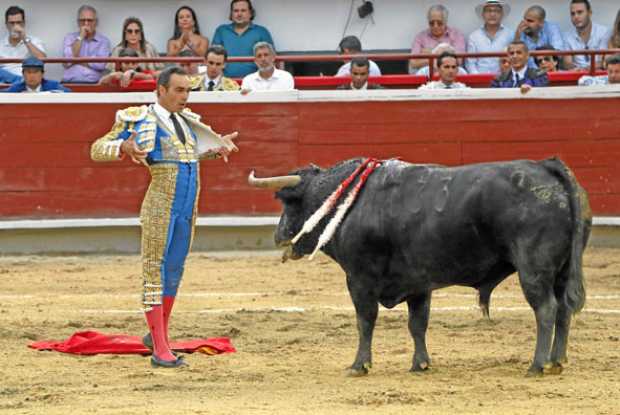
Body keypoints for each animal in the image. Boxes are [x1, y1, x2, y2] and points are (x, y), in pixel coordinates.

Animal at [249, 157, 592, 376]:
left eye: (288, 202)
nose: (277, 235)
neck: (353, 204)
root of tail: (546, 166)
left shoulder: (359, 279)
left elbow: (365, 321)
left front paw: (359, 365)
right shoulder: (418, 284)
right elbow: (417, 324)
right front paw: (421, 364)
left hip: (533, 269)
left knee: (546, 309)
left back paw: (537, 365)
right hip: (561, 272)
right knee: (563, 309)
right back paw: (557, 361)